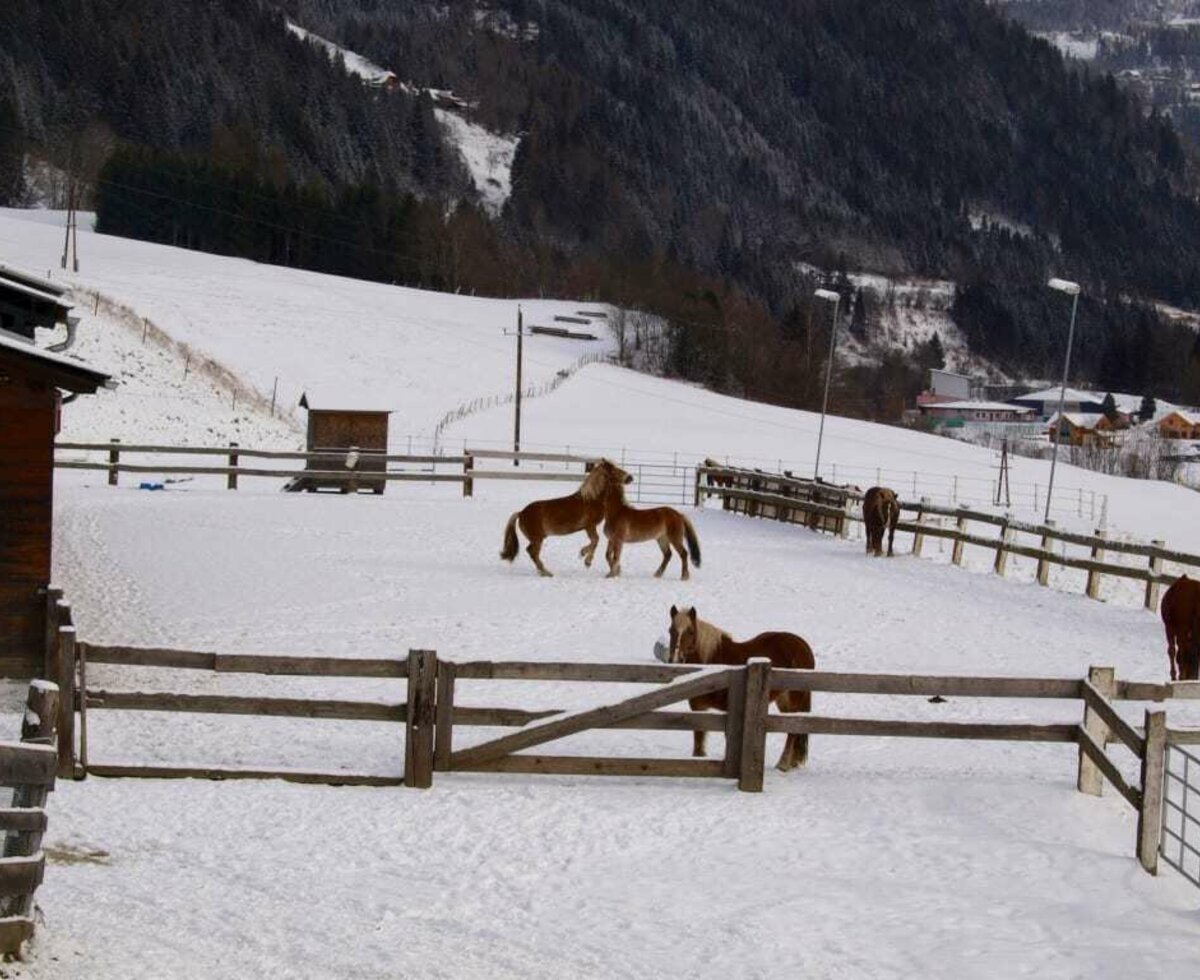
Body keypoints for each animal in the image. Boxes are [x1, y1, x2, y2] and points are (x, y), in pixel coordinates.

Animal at [499, 455, 633, 573]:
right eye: (614, 470)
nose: (630, 477)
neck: (591, 500)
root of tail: (521, 513)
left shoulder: (589, 527)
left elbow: (595, 540)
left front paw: (585, 556)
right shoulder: (590, 526)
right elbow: (595, 540)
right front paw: (586, 558)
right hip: (537, 539)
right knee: (532, 552)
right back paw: (546, 572)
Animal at [667, 604, 816, 772]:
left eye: (691, 631)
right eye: (671, 630)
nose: (675, 659)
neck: (714, 661)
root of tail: (802, 645)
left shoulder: (730, 707)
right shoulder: (698, 707)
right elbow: (698, 736)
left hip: (795, 698)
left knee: (793, 728)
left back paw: (783, 764)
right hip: (783, 700)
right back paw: (792, 762)